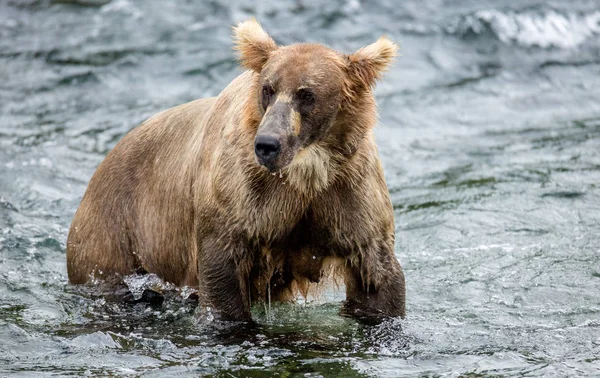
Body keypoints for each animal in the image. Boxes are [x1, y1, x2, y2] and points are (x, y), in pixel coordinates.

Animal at [67, 19, 408, 324]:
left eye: (306, 94)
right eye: (268, 88)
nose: (268, 144)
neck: (303, 173)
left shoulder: (347, 193)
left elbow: (376, 275)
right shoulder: (241, 199)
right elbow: (223, 278)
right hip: (115, 230)